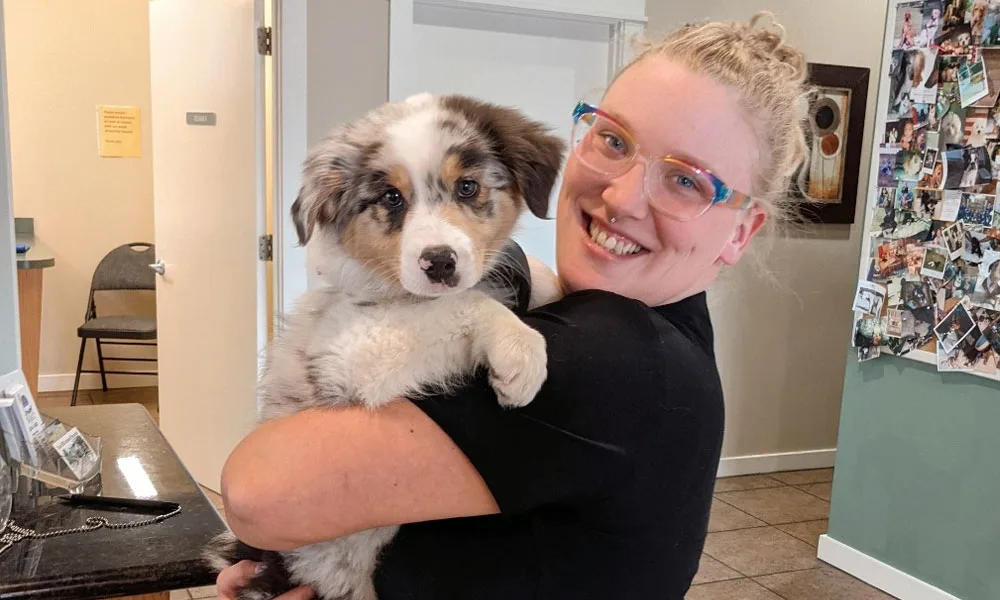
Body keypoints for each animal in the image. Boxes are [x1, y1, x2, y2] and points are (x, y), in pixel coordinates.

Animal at [203, 90, 568, 600]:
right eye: (391, 197)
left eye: (468, 187)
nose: (440, 262)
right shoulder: (354, 353)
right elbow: (463, 304)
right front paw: (519, 351)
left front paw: (546, 282)